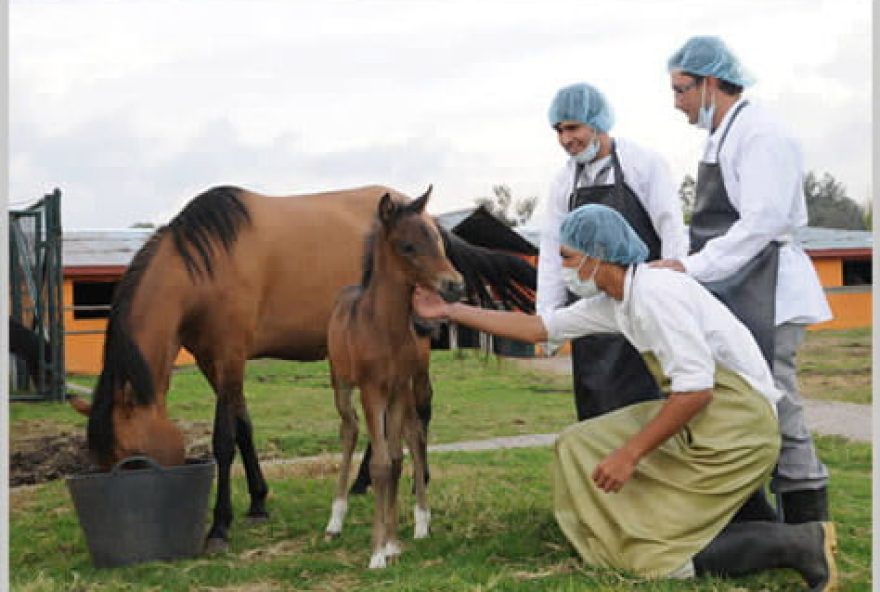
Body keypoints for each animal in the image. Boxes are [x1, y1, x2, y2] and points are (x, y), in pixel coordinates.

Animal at [72, 184, 532, 552]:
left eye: (132, 459)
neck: (205, 264)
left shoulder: (229, 356)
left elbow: (224, 439)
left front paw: (220, 526)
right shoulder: (211, 362)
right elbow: (244, 428)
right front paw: (258, 501)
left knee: (418, 413)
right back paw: (363, 482)